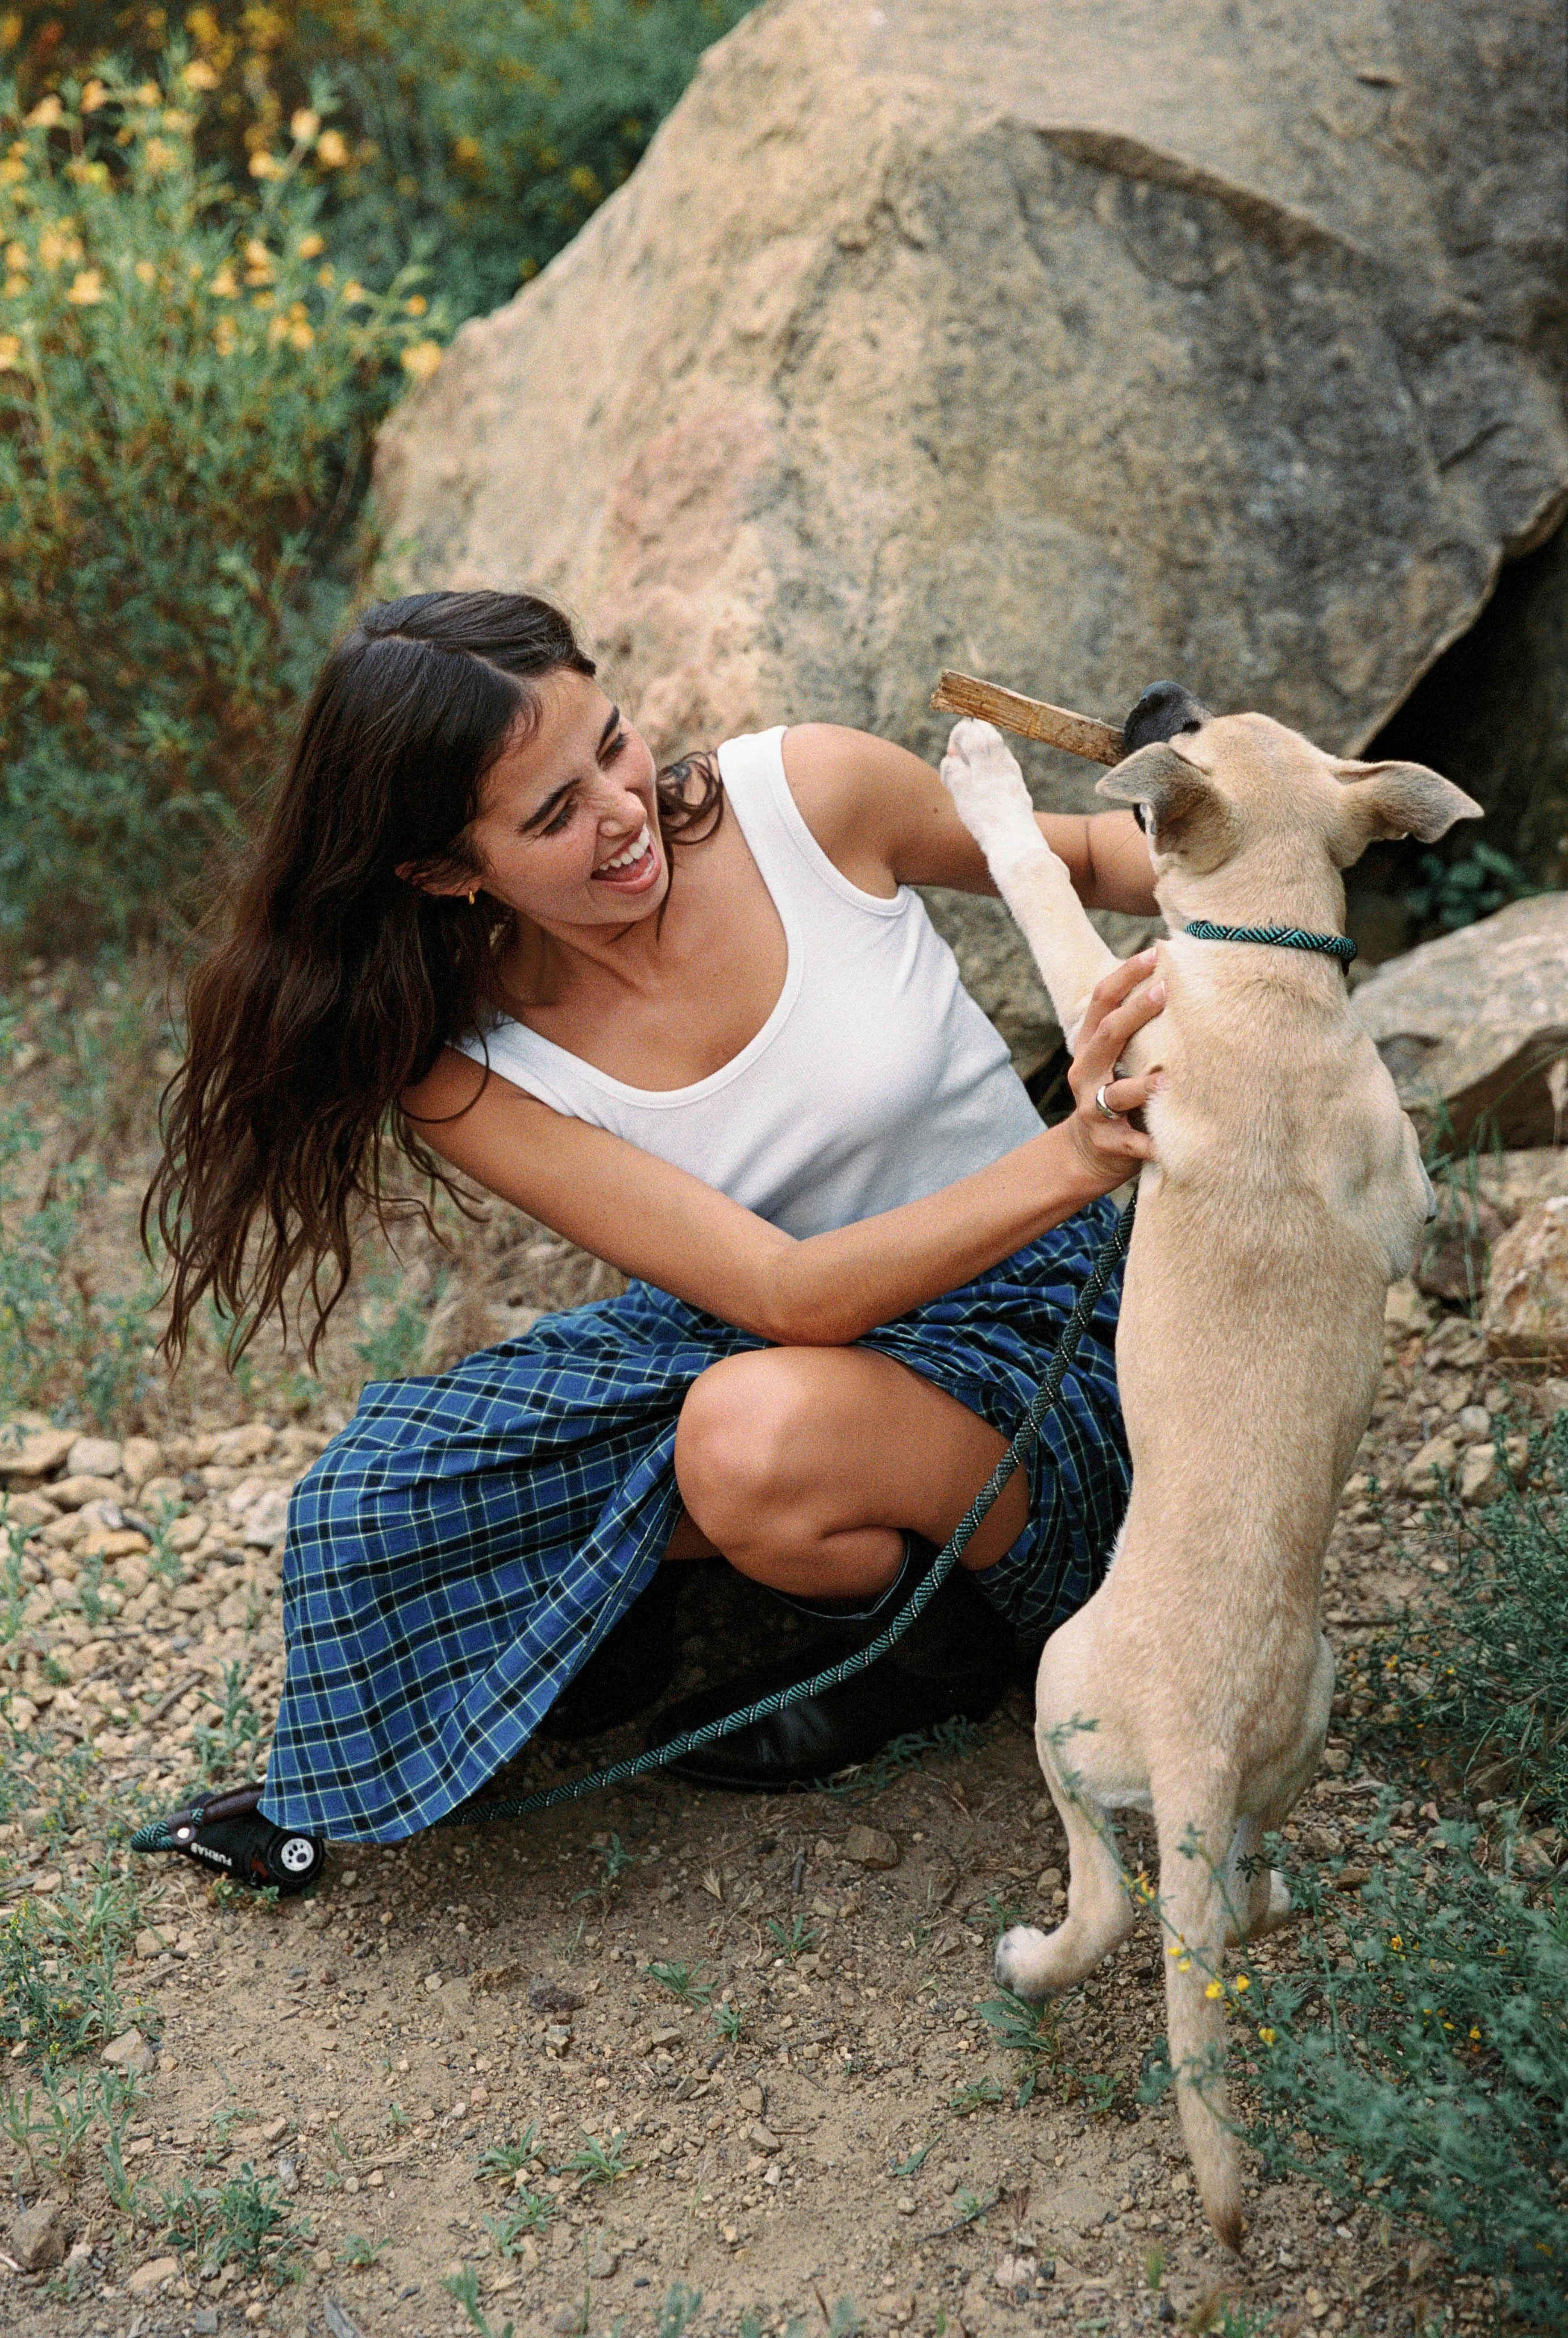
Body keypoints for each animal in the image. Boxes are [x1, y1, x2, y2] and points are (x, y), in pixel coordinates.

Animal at [944, 692, 1486, 2244]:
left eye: (1196, 731)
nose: (1157, 702)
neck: (1278, 973)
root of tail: (1192, 1736)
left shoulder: (1112, 1018)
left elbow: (1042, 894)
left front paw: (981, 771)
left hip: (1057, 1702)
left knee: (1115, 1904)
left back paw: (1027, 1959)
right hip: (1294, 1730)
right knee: (1228, 1904)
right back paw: (1272, 1887)